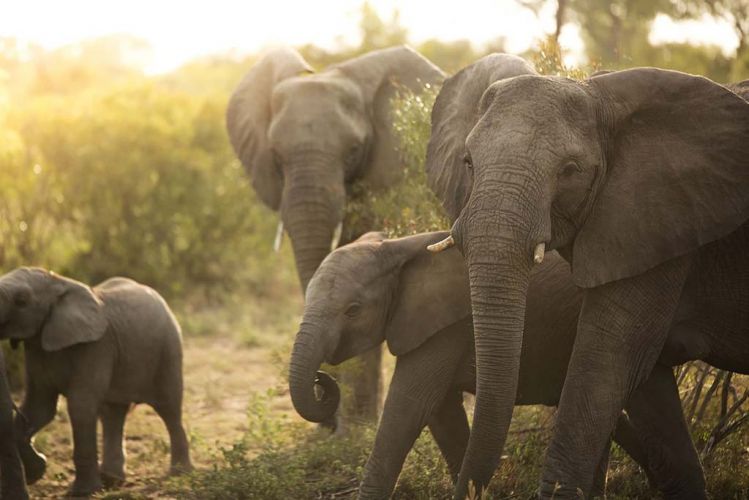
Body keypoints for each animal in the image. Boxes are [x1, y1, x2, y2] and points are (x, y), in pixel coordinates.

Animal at [0, 268, 192, 497]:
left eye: (21, 300)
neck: (58, 282)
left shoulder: (96, 347)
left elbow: (80, 406)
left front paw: (82, 493)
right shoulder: (37, 349)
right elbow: (39, 408)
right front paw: (37, 471)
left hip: (168, 349)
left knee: (169, 408)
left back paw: (179, 474)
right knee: (113, 413)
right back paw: (112, 481)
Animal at [289, 231, 705, 499]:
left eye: (352, 310)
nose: (321, 379)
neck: (395, 246)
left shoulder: (446, 327)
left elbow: (409, 407)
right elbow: (441, 414)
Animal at [424, 53, 749, 498]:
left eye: (570, 170)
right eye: (469, 163)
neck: (600, 96)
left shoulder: (658, 216)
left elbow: (603, 364)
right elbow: (637, 378)